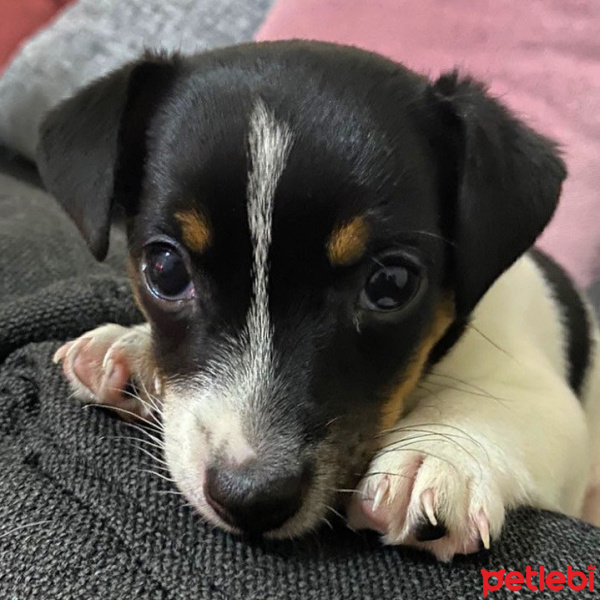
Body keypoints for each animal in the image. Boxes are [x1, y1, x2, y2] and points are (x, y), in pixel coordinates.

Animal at [38, 42, 600, 564]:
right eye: (166, 269)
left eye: (391, 284)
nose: (251, 499)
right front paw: (131, 349)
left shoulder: (547, 398)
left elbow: (501, 410)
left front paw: (438, 453)